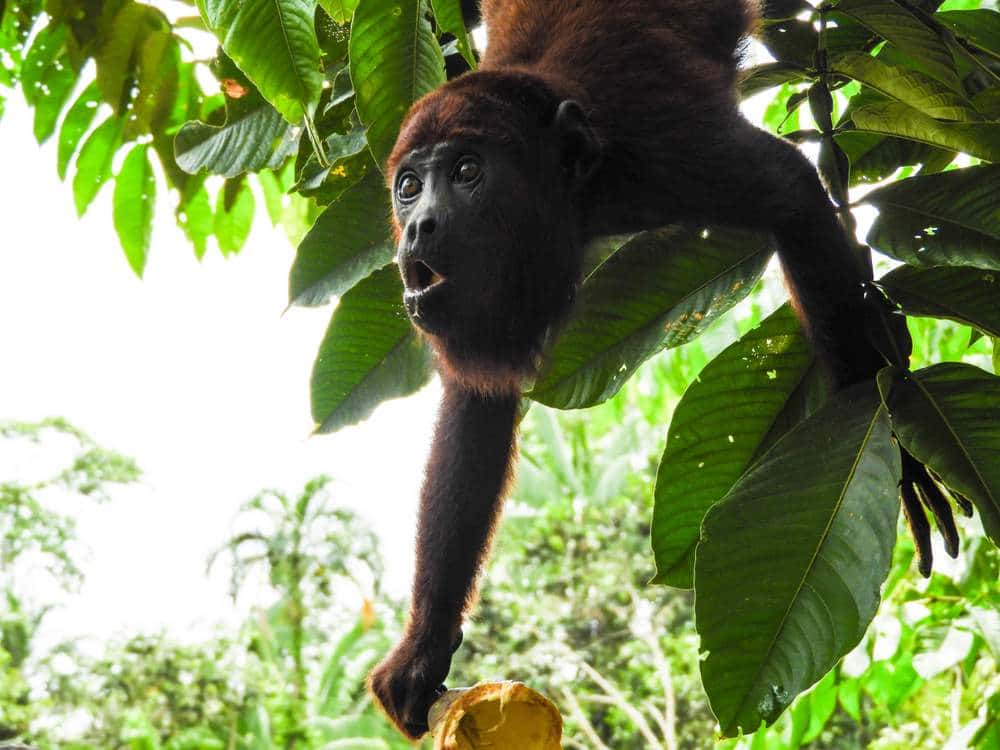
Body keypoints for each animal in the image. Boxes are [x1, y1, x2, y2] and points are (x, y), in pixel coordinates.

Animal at [367, 0, 912, 739]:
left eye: (467, 173)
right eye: (408, 187)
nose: (418, 225)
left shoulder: (663, 160)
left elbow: (791, 189)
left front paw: (880, 428)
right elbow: (477, 400)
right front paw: (424, 646)